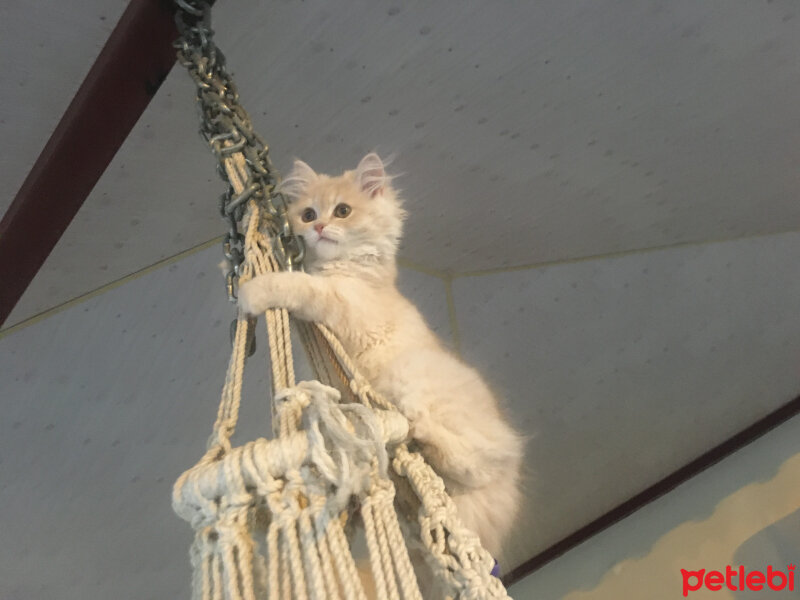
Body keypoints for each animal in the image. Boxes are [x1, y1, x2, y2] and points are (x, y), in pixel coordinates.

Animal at [236, 152, 524, 560]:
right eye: (307, 214)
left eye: (342, 211)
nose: (319, 226)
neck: (352, 271)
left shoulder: (342, 304)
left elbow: (298, 286)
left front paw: (252, 291)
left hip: (414, 376)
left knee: (481, 460)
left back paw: (422, 430)